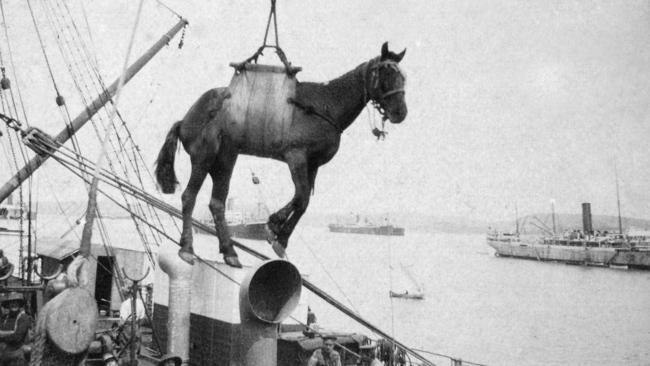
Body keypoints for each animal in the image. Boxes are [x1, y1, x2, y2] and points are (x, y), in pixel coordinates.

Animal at [154, 41, 404, 268]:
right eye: (385, 74)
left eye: (403, 77)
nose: (401, 112)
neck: (325, 105)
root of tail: (185, 119)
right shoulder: (296, 156)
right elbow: (301, 197)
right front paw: (276, 229)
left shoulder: (312, 164)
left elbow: (303, 200)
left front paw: (278, 231)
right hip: (204, 157)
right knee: (189, 197)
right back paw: (187, 248)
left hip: (225, 159)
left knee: (217, 203)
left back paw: (230, 252)